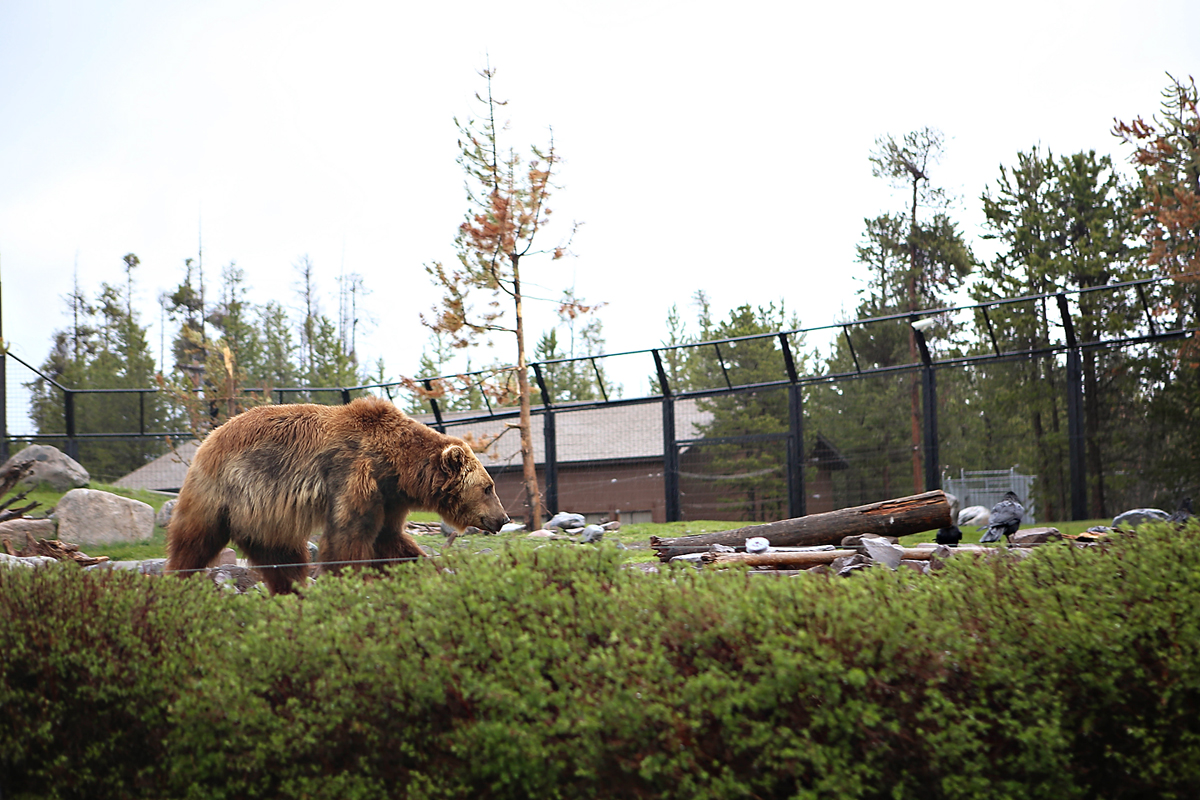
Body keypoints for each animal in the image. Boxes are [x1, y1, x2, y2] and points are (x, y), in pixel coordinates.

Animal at [165, 398, 511, 594]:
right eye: (488, 487)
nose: (503, 518)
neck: (395, 466)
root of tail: (209, 438)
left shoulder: (389, 499)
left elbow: (390, 541)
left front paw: (432, 570)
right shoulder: (354, 476)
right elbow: (347, 540)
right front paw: (352, 586)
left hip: (263, 517)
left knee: (282, 558)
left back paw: (294, 594)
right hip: (222, 493)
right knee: (193, 542)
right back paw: (177, 584)